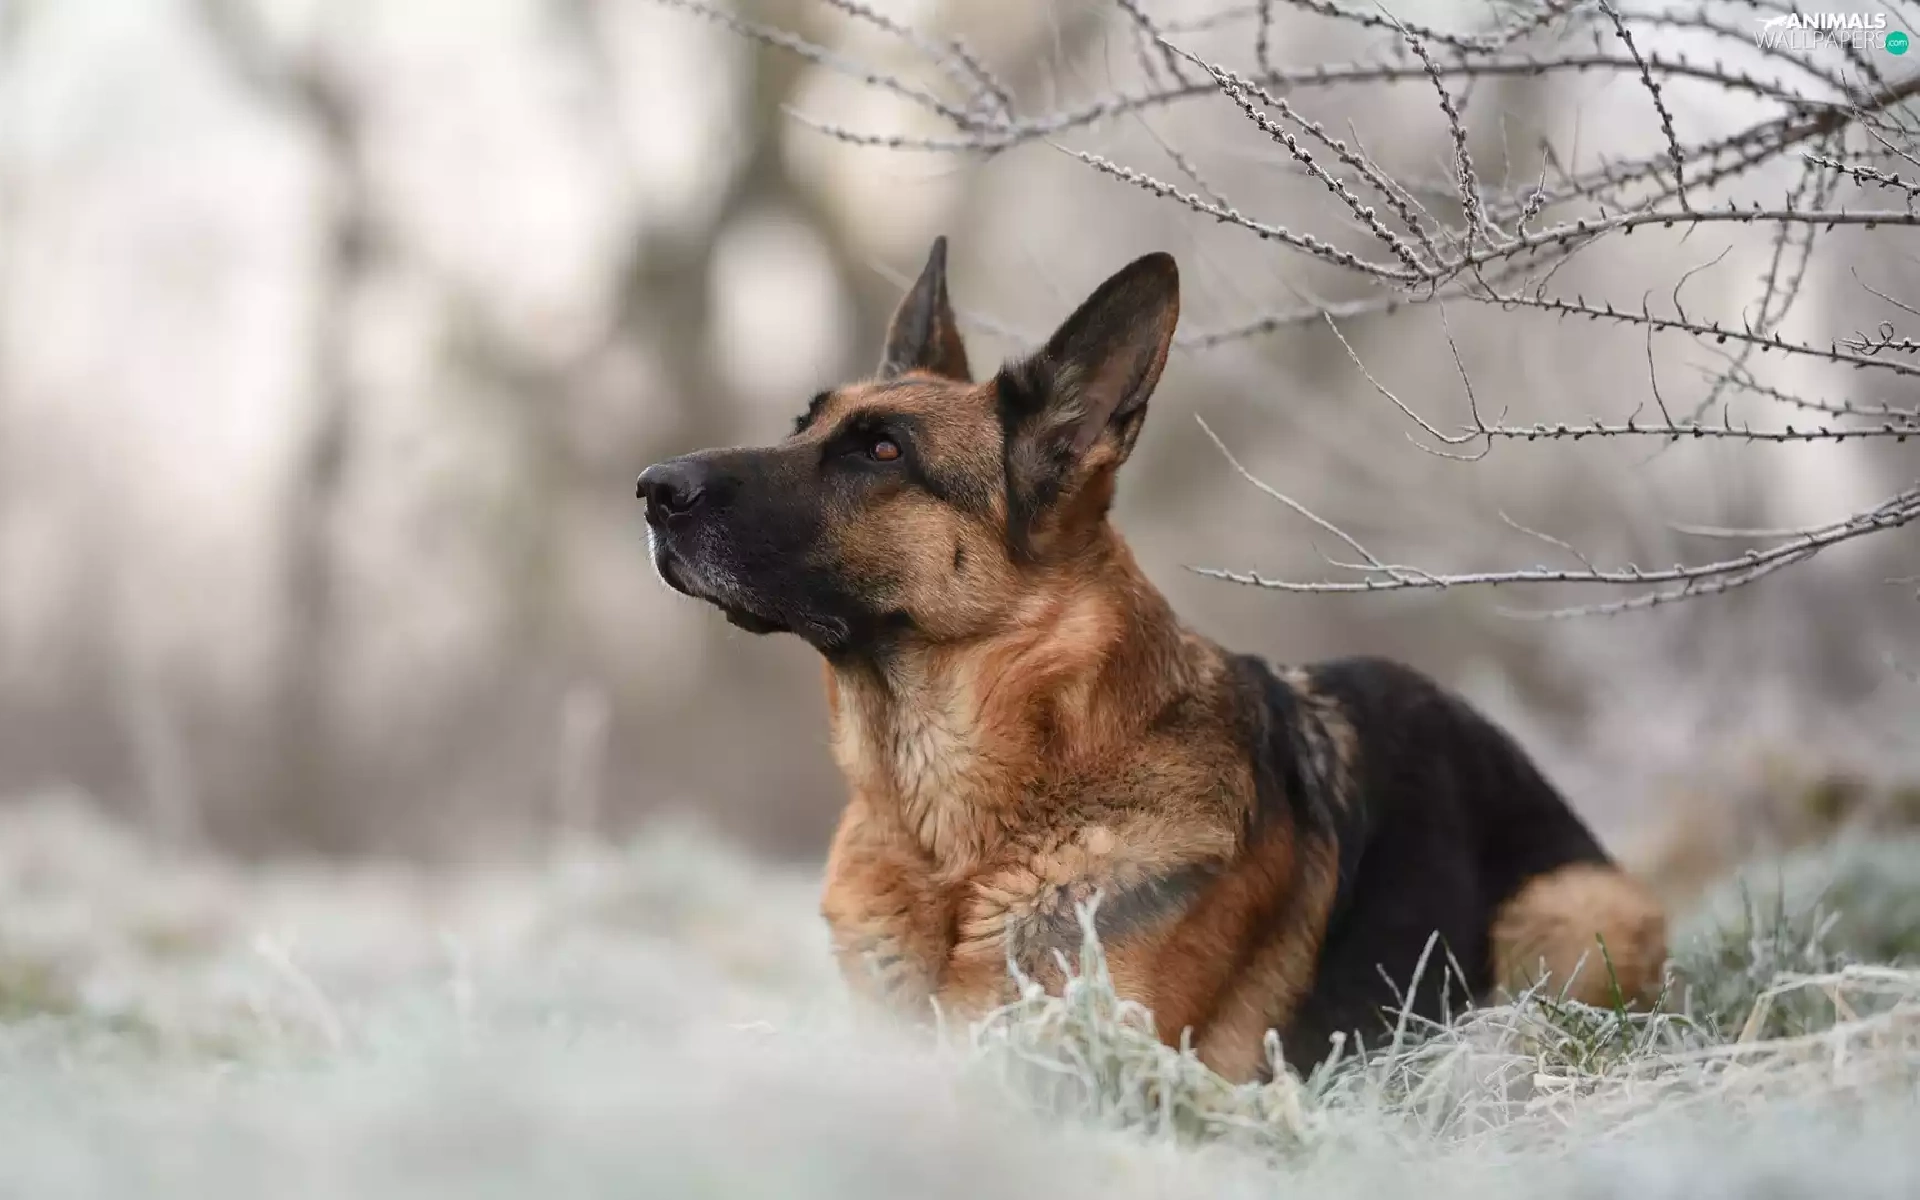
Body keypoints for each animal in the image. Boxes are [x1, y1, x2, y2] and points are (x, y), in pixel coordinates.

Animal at [636, 238, 1668, 1081]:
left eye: (880, 451)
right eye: (801, 425)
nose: (652, 488)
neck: (955, 843)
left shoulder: (1087, 1055)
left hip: (1560, 913)